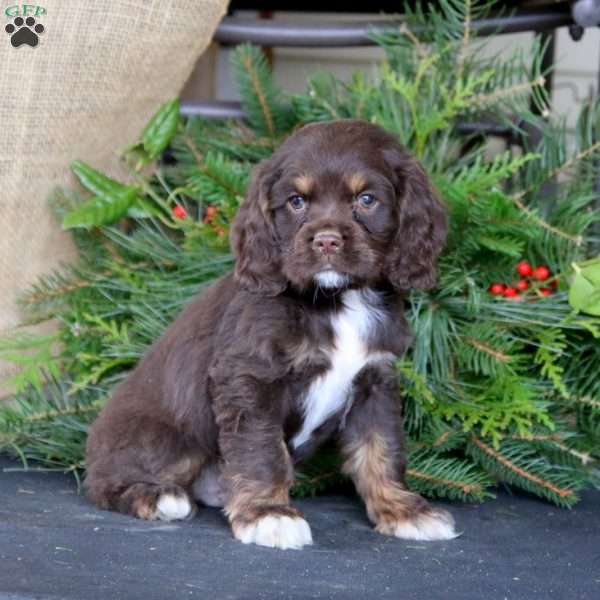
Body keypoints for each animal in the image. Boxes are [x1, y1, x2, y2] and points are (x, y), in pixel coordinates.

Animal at [85, 119, 460, 552]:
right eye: (296, 202)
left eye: (367, 199)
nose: (326, 240)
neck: (335, 301)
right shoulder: (250, 378)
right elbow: (261, 450)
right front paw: (269, 514)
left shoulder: (375, 381)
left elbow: (381, 449)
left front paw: (403, 511)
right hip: (171, 440)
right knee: (104, 481)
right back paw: (158, 497)